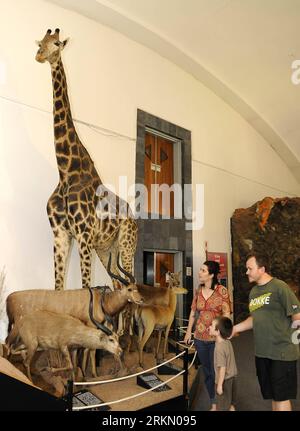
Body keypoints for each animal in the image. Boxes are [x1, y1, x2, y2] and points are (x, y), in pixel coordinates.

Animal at [35, 29, 138, 290]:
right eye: (40, 42)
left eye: (57, 43)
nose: (39, 56)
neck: (66, 170)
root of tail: (135, 216)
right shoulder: (60, 234)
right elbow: (58, 288)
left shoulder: (83, 234)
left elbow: (84, 287)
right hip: (106, 249)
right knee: (118, 284)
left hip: (126, 243)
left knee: (133, 283)